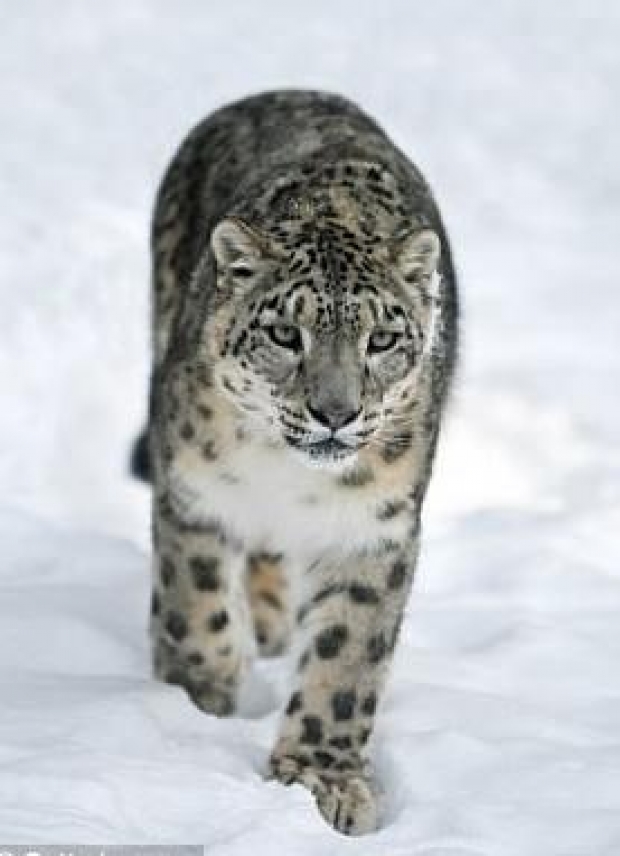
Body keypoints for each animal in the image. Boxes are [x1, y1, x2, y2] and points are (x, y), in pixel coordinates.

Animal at [132, 89, 458, 835]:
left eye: (382, 339)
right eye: (286, 333)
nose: (334, 412)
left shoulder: (374, 528)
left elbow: (346, 661)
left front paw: (320, 779)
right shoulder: (193, 487)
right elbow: (193, 599)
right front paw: (199, 698)